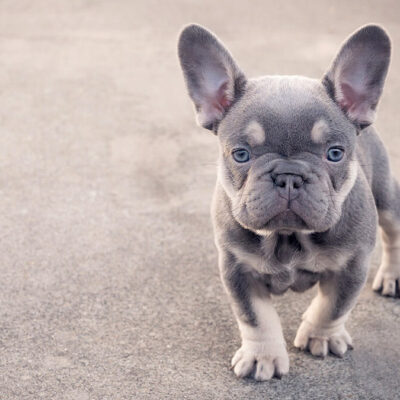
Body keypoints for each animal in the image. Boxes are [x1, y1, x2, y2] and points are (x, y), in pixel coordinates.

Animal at [178, 23, 400, 380]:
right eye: (241, 154)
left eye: (334, 153)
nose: (289, 176)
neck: (288, 237)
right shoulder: (237, 268)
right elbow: (255, 317)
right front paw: (262, 356)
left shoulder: (352, 265)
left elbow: (333, 306)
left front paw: (321, 336)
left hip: (385, 195)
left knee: (393, 232)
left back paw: (391, 276)